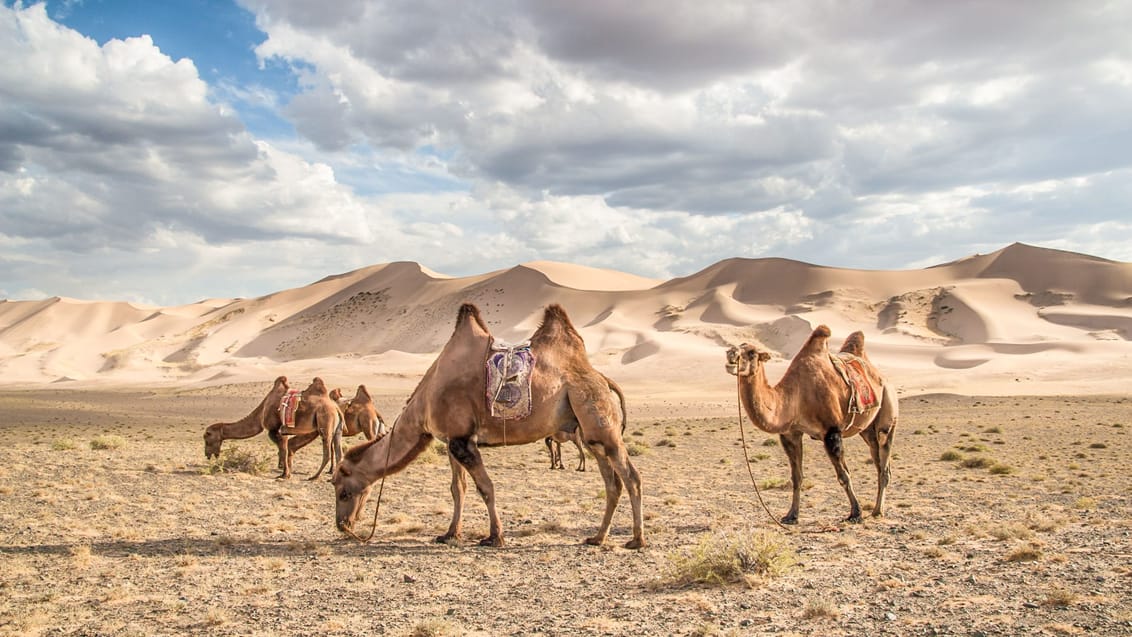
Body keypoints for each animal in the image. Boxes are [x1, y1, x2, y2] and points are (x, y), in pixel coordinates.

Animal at [330, 303, 647, 547]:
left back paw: (636, 540)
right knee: (612, 482)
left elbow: (486, 487)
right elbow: (458, 489)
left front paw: (495, 537)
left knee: (631, 477)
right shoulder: (452, 441)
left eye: (343, 491)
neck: (424, 403)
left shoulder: (463, 441)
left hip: (599, 420)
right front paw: (449, 534)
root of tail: (602, 378)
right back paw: (597, 538)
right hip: (589, 433)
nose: (342, 525)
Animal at [724, 325, 901, 524]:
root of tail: (883, 378)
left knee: (884, 460)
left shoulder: (831, 432)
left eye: (752, 352)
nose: (730, 353)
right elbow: (796, 477)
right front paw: (791, 515)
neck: (795, 396)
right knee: (877, 460)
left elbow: (844, 476)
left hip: (888, 408)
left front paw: (855, 513)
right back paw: (877, 508)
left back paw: (877, 511)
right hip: (867, 431)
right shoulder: (791, 434)